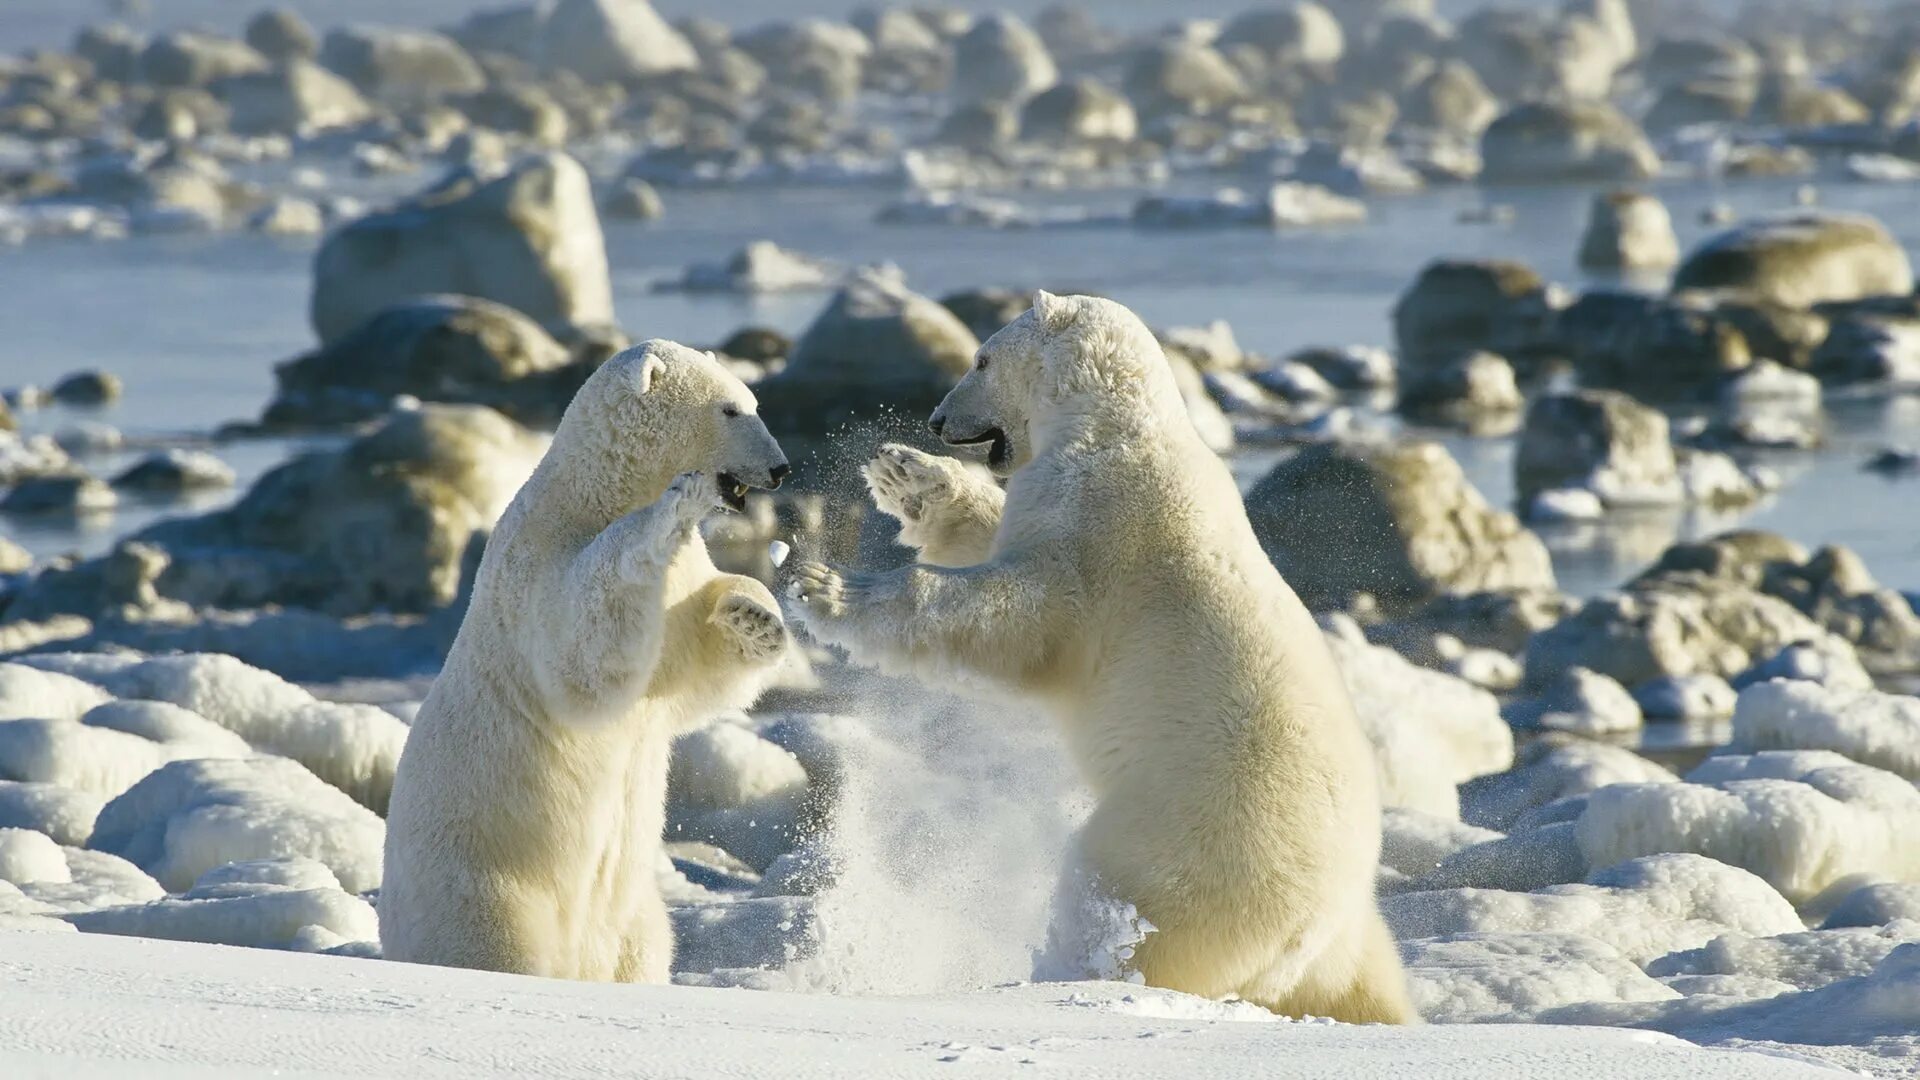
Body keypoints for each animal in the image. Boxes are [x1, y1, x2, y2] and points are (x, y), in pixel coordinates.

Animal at [385, 340, 791, 980]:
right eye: (730, 409)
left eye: (752, 402)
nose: (780, 469)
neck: (594, 492)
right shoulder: (535, 562)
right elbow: (582, 654)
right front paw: (674, 506)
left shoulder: (680, 588)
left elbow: (690, 675)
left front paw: (756, 618)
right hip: (486, 883)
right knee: (496, 949)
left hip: (632, 914)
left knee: (644, 943)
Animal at [787, 292, 1420, 1014]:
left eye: (981, 359)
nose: (939, 420)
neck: (1117, 424)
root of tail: (1322, 925)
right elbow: (996, 531)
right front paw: (908, 474)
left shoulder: (1102, 526)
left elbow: (1022, 613)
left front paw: (826, 587)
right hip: (1340, 935)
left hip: (1192, 838)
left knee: (1126, 904)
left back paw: (1068, 974)